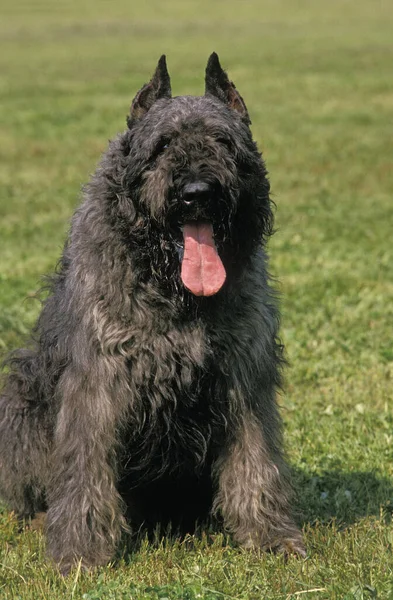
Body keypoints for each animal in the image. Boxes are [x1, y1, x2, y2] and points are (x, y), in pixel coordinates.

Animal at [0, 52, 304, 572]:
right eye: (162, 145)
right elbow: (84, 470)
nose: (197, 191)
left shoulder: (243, 378)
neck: (174, 292)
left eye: (224, 141)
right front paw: (80, 553)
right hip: (21, 398)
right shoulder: (97, 383)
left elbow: (256, 460)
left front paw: (270, 535)